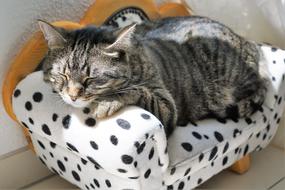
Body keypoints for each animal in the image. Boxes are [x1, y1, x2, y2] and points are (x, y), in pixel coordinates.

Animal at [37, 15, 266, 137]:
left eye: (90, 79)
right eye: (63, 75)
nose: (73, 96)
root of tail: (249, 43)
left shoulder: (167, 107)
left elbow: (138, 91)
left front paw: (108, 102)